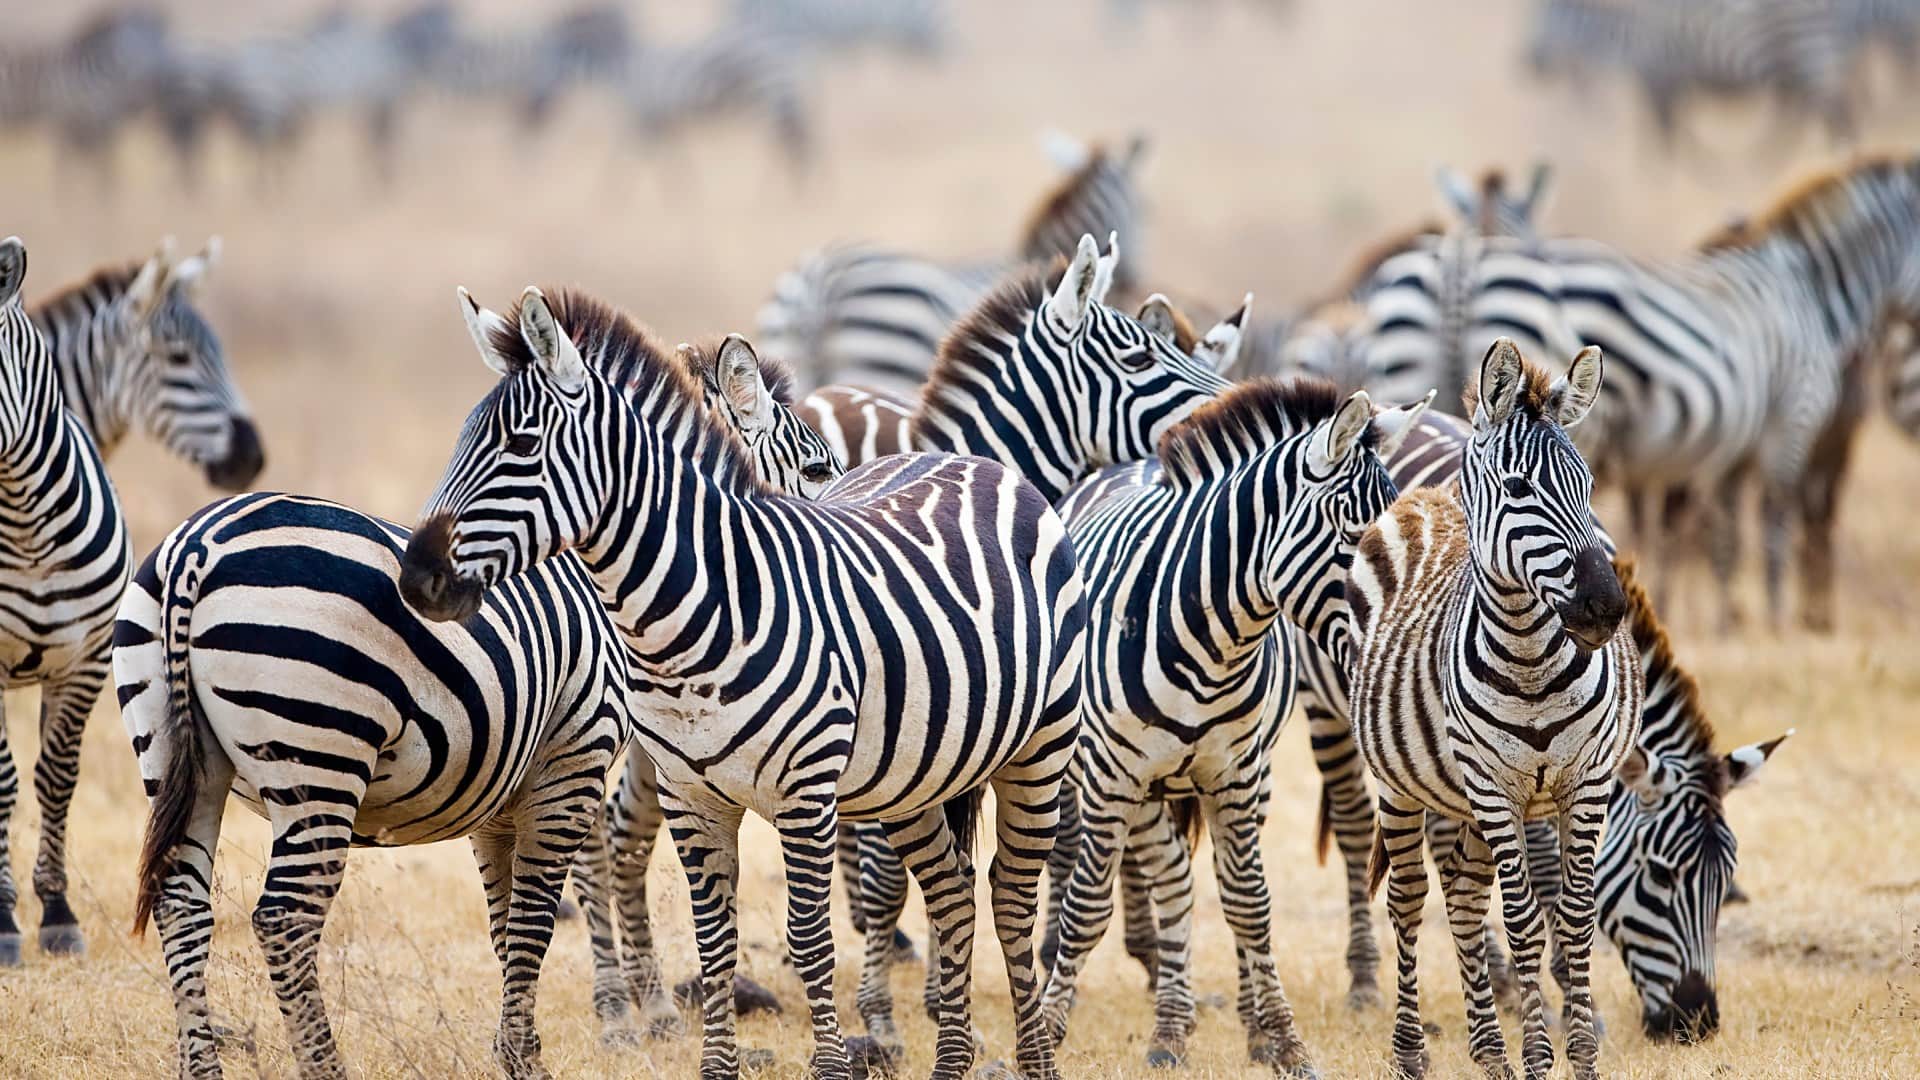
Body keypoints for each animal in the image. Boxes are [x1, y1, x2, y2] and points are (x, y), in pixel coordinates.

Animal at [115, 490, 631, 1080]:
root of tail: (196, 546)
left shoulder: (496, 806)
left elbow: (505, 926)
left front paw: (512, 1051)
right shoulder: (572, 763)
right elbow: (532, 923)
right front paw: (525, 1058)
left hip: (172, 752)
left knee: (180, 905)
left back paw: (201, 1068)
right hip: (318, 758)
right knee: (283, 918)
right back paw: (325, 1067)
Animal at [400, 285, 1088, 1080]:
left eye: (521, 447)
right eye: (467, 441)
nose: (416, 578)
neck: (695, 620)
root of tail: (976, 462)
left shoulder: (807, 790)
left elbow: (811, 934)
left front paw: (832, 1065)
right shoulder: (690, 794)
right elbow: (714, 938)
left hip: (1042, 747)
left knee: (1009, 893)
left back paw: (1034, 1058)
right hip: (914, 772)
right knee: (952, 890)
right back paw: (950, 1062)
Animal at [1037, 379, 1429, 1072]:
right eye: (1357, 541)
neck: (1211, 644)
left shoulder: (1235, 775)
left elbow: (1249, 905)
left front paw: (1287, 1041)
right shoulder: (1114, 778)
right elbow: (1086, 909)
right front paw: (1050, 1035)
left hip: (1248, 780)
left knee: (1197, 878)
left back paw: (1216, 1026)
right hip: (1119, 779)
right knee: (1166, 878)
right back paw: (1168, 1027)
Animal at [1348, 338, 1640, 1080]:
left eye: (1587, 484)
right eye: (1518, 490)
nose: (1605, 607)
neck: (1530, 659)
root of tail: (1428, 498)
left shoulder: (1585, 783)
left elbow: (1572, 916)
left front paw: (1580, 1056)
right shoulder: (1495, 788)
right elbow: (1523, 921)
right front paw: (1539, 1056)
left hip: (1466, 801)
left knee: (1462, 892)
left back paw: (1488, 1049)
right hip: (1404, 785)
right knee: (1410, 899)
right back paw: (1411, 1052)